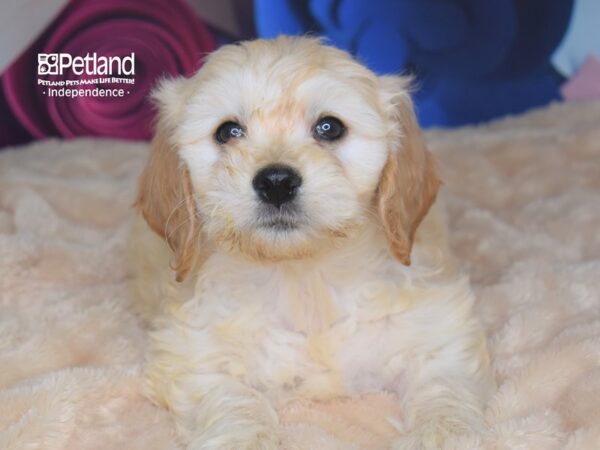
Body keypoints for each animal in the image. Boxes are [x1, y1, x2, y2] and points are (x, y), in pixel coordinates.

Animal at [130, 37, 492, 448]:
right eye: (227, 132)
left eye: (330, 128)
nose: (276, 182)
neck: (304, 280)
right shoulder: (195, 356)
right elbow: (233, 399)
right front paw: (243, 437)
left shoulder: (438, 338)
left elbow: (444, 389)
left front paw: (445, 433)